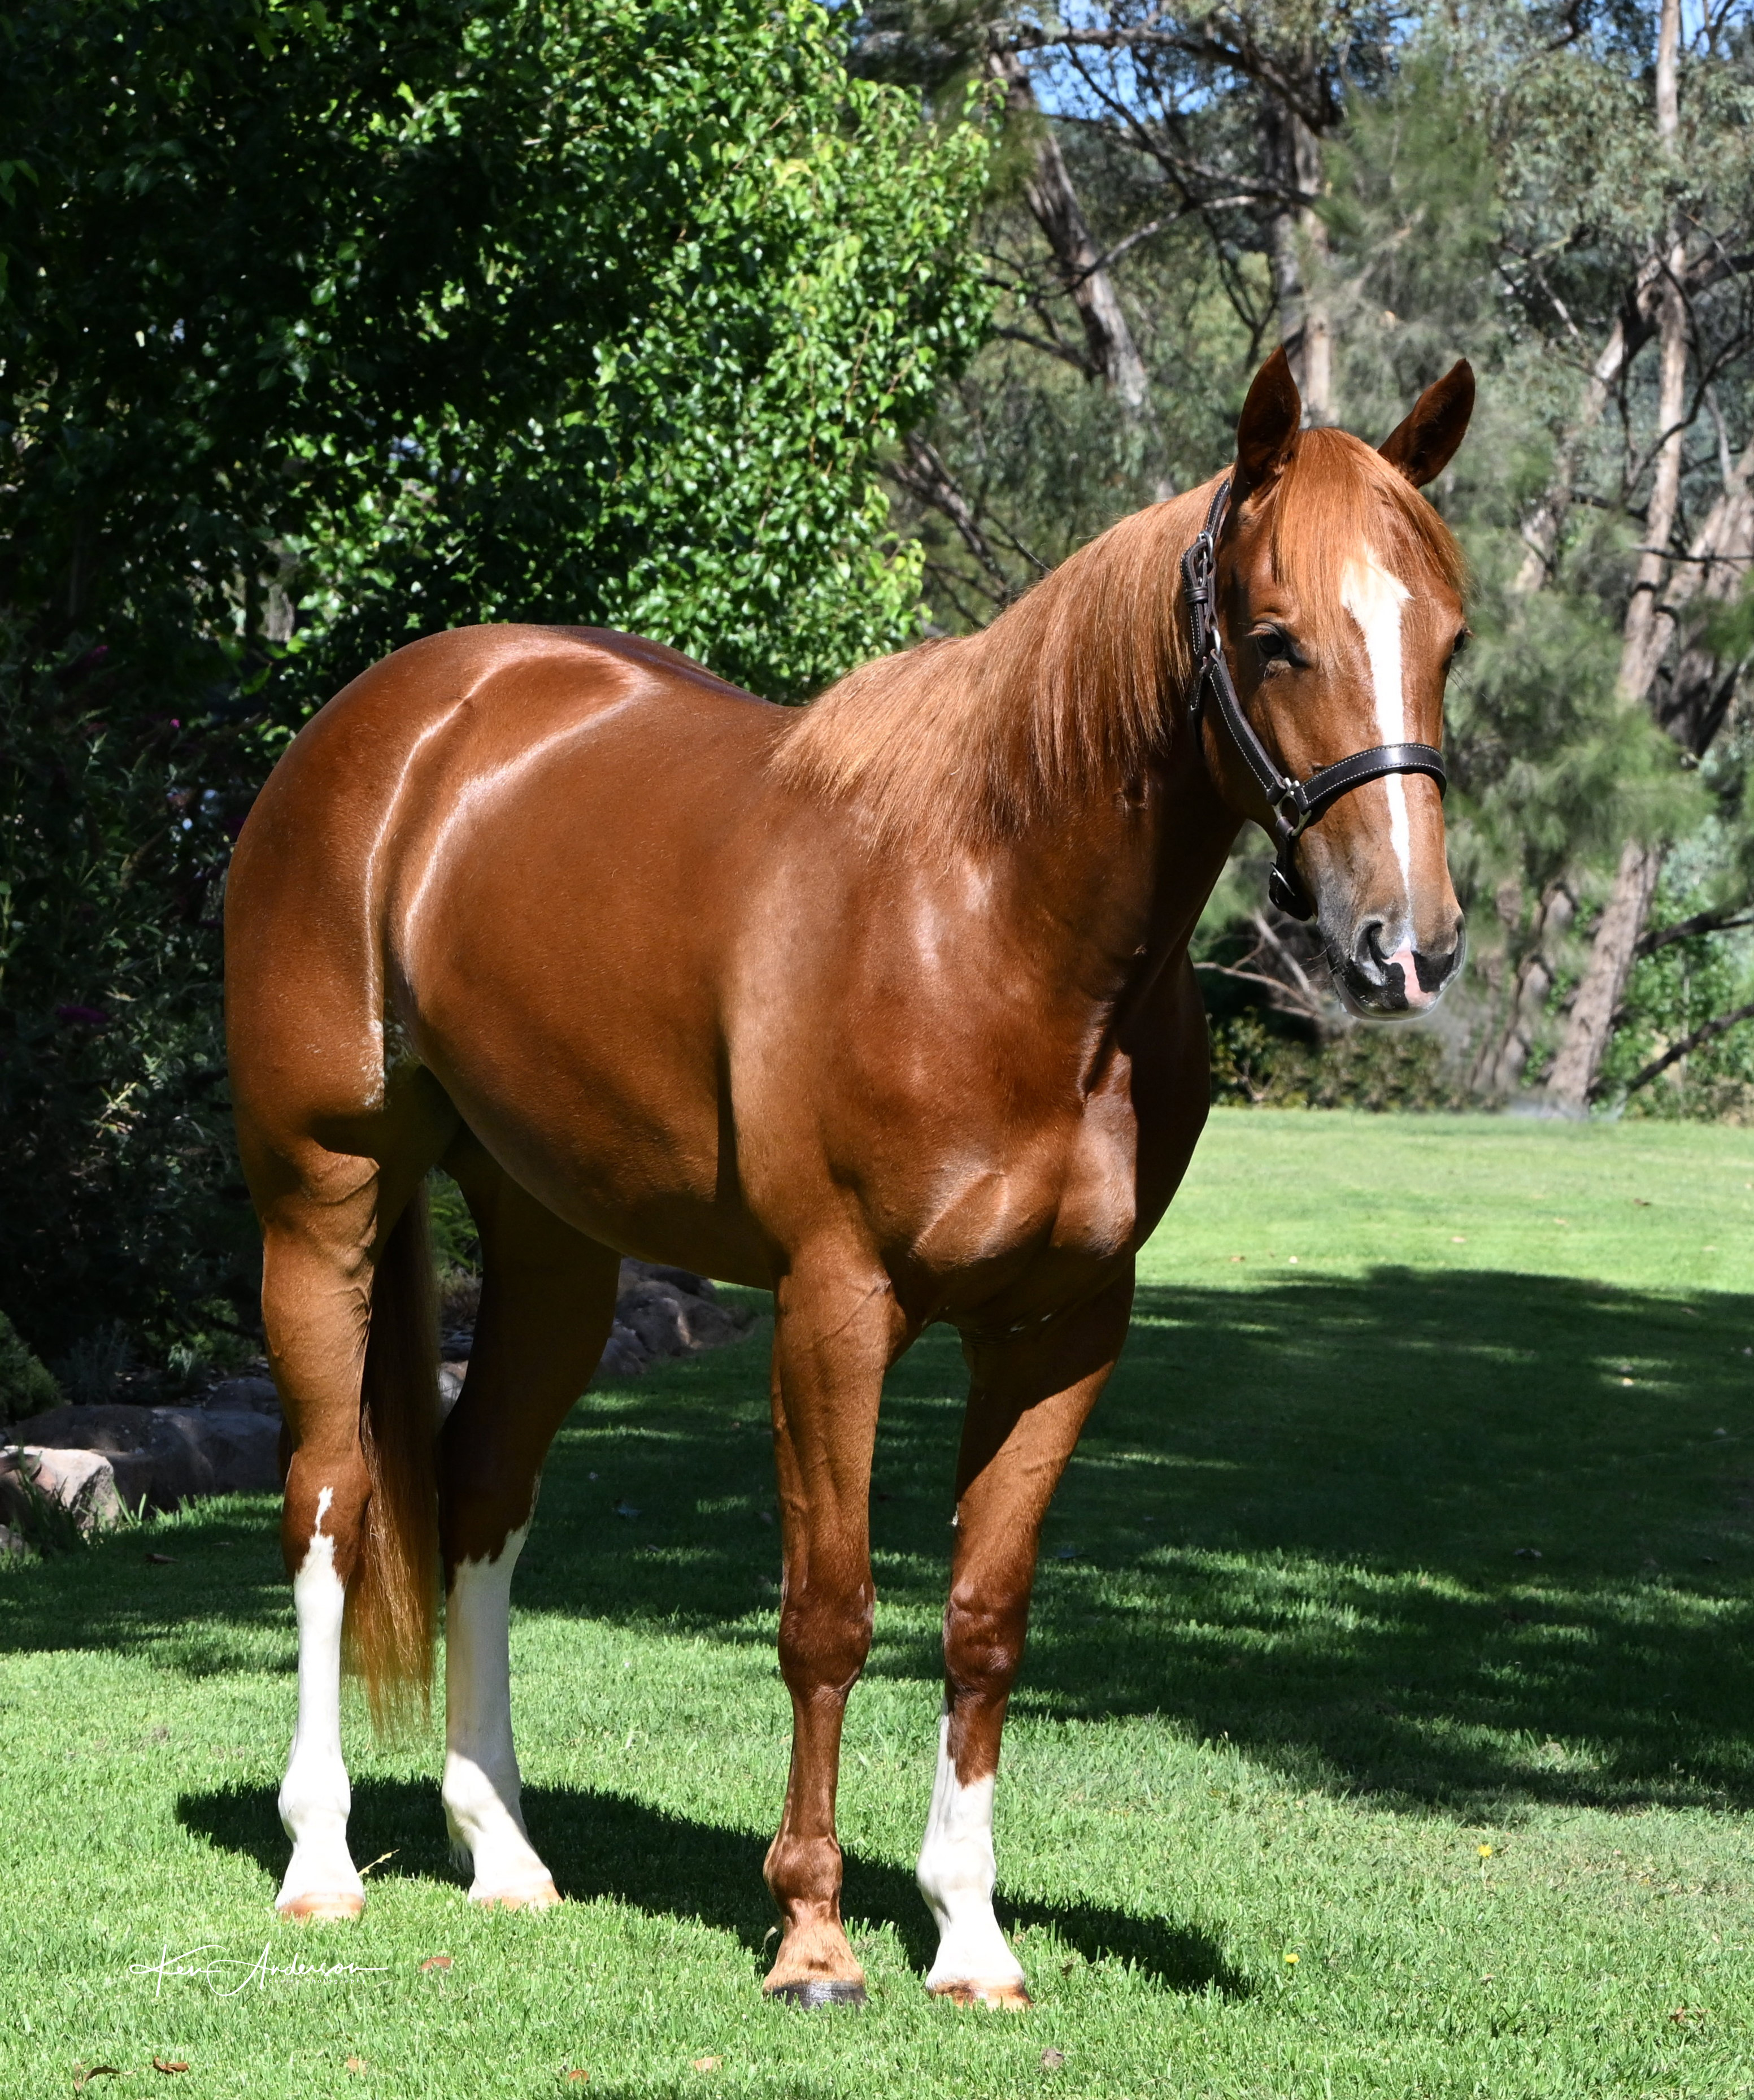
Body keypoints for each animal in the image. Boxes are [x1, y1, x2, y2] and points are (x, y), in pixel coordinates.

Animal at [224, 345, 1474, 2008]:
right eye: (1274, 638)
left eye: (1448, 637)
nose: (1410, 941)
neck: (995, 915)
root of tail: (394, 723)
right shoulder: (835, 1307)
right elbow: (829, 1614)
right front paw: (813, 1936)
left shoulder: (1064, 1330)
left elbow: (983, 1621)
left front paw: (971, 1937)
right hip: (323, 1197)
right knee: (330, 1496)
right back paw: (318, 1862)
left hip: (554, 1241)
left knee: (484, 1485)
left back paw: (503, 1853)